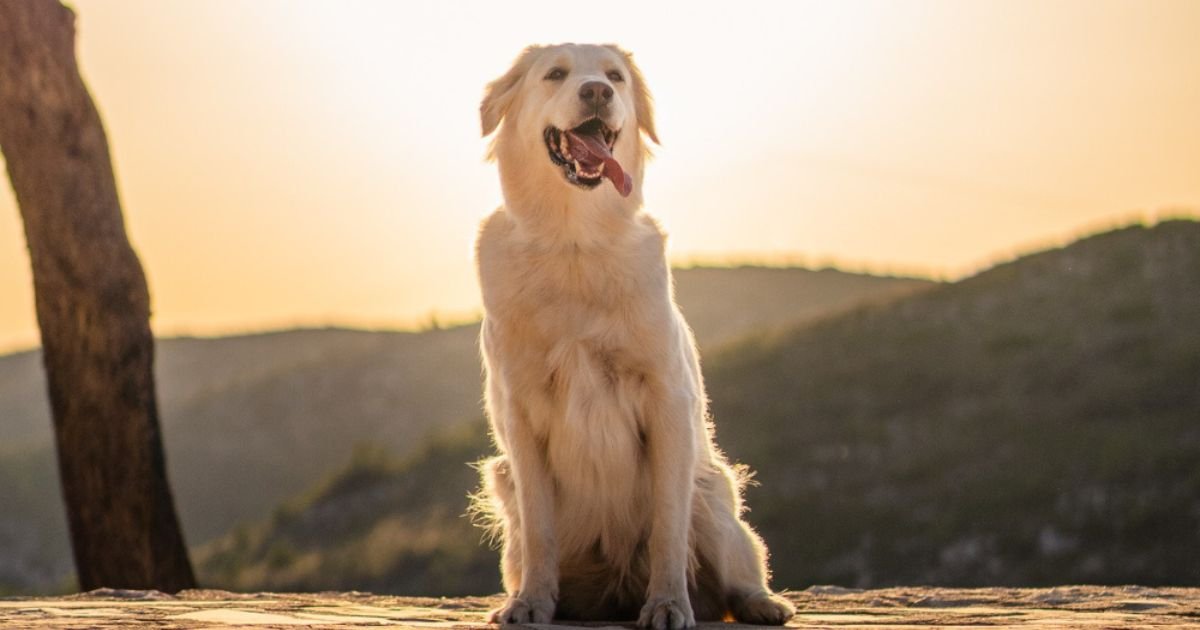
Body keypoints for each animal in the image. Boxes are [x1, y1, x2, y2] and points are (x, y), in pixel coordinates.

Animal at [472, 44, 792, 628]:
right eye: (555, 74)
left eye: (615, 77)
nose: (598, 91)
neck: (573, 243)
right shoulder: (520, 412)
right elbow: (541, 528)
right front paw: (530, 602)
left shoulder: (666, 400)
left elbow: (668, 527)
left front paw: (667, 604)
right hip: (503, 483)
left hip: (713, 492)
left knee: (737, 573)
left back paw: (762, 602)